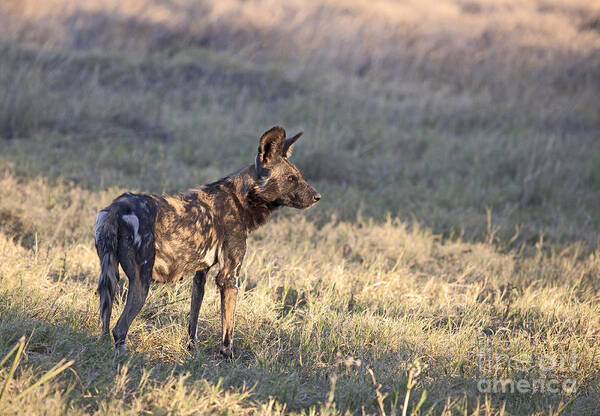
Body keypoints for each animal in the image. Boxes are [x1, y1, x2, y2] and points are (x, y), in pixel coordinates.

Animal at [94, 127, 322, 358]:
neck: (242, 198)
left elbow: (193, 321)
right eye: (291, 178)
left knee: (105, 326)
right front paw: (227, 357)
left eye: (299, 176)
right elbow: (228, 330)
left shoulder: (200, 275)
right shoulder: (229, 277)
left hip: (110, 278)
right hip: (142, 281)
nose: (317, 197)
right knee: (119, 329)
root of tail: (116, 208)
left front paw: (191, 350)